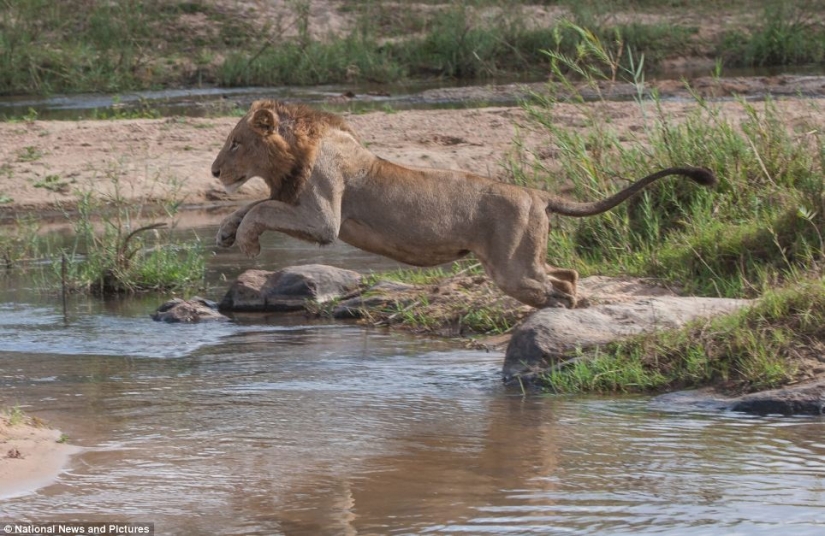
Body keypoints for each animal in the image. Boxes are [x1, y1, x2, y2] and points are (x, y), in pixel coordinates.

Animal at [211, 100, 716, 308]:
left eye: (235, 142)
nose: (214, 172)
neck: (294, 152)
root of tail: (536, 193)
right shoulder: (294, 200)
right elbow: (251, 205)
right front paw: (226, 232)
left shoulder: (322, 218)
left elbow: (262, 208)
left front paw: (248, 243)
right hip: (521, 259)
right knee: (567, 274)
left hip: (511, 266)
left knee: (554, 284)